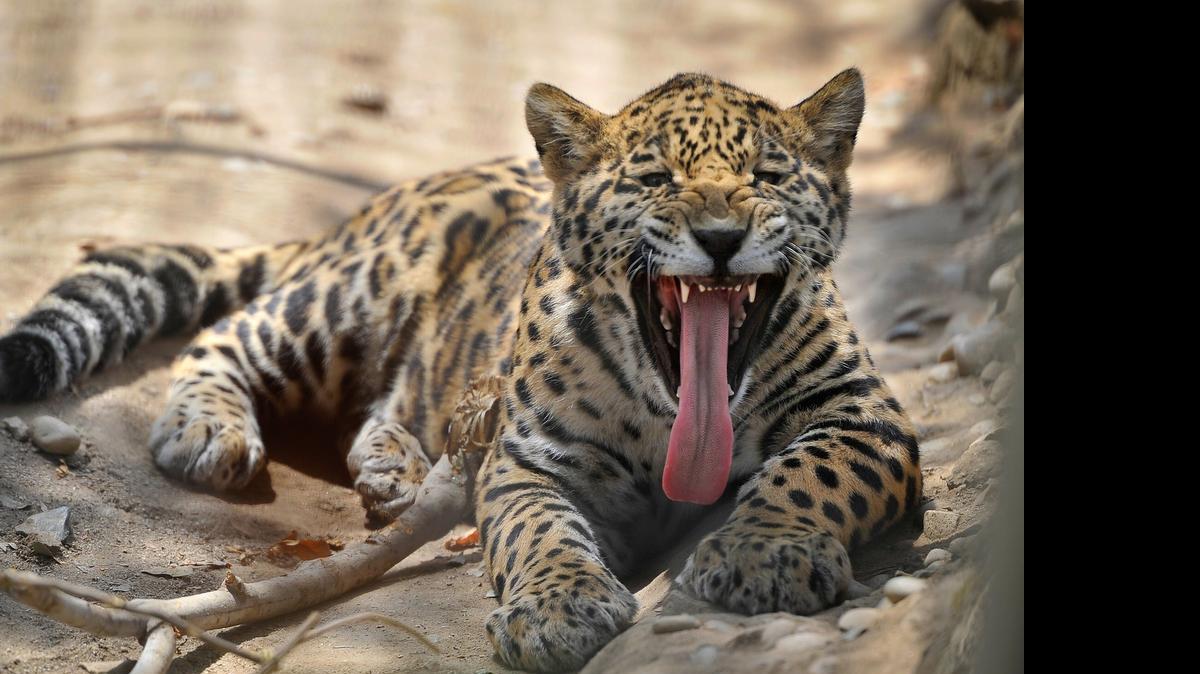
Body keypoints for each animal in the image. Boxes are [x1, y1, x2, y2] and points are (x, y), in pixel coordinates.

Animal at [0, 70, 921, 672]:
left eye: (767, 176)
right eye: (657, 178)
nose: (722, 238)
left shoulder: (865, 416)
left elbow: (807, 472)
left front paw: (764, 553)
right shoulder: (535, 461)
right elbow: (537, 531)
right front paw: (556, 610)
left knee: (390, 401)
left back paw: (395, 469)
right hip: (351, 296)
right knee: (230, 330)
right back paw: (208, 431)